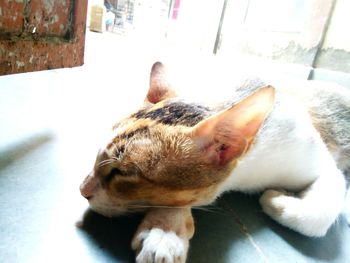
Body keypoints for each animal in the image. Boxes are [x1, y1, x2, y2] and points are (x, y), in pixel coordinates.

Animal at [80, 61, 350, 263]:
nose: (82, 190)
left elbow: (318, 216)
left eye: (122, 172)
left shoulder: (321, 163)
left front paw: (276, 200)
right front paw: (165, 229)